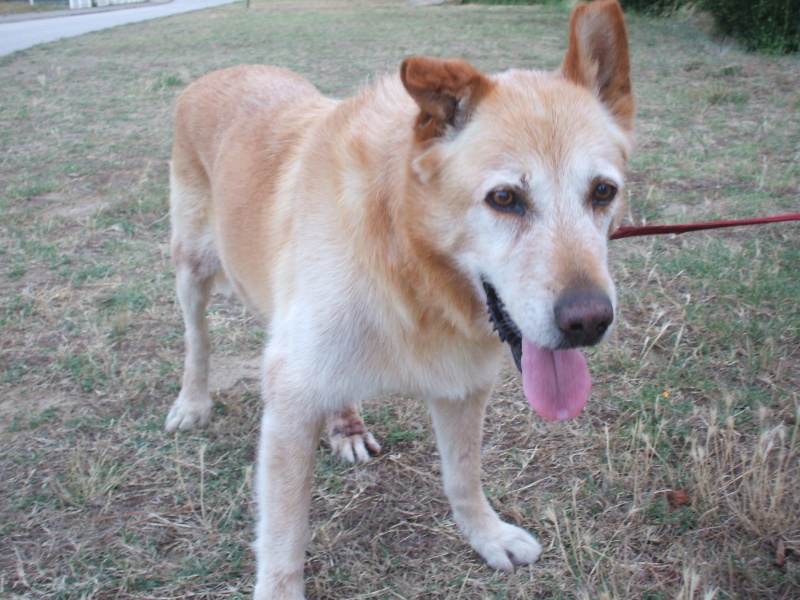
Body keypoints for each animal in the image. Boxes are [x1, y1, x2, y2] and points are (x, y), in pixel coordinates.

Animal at [166, 2, 636, 596]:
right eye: (505, 198)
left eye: (603, 192)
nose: (588, 321)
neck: (409, 265)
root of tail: (218, 74)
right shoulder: (291, 398)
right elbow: (284, 535)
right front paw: (280, 585)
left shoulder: (463, 387)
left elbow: (464, 478)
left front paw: (486, 535)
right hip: (192, 269)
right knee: (196, 340)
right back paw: (193, 402)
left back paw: (345, 425)